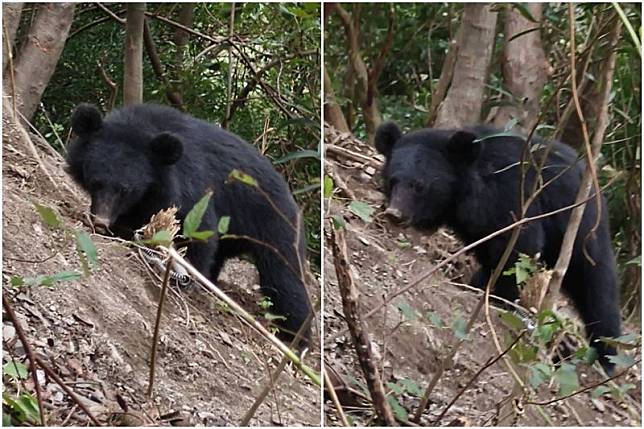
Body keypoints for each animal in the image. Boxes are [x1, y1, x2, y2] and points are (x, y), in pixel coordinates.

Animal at [66, 102, 314, 342]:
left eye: (125, 190)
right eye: (95, 182)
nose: (100, 221)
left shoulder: (189, 186)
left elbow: (199, 232)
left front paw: (185, 278)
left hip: (274, 224)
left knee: (285, 278)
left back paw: (296, 337)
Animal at [374, 121, 620, 372]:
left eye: (419, 186)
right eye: (393, 181)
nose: (394, 213)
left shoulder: (512, 197)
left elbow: (519, 248)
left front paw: (498, 297)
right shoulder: (477, 223)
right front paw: (480, 285)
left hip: (581, 226)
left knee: (596, 285)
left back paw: (606, 354)